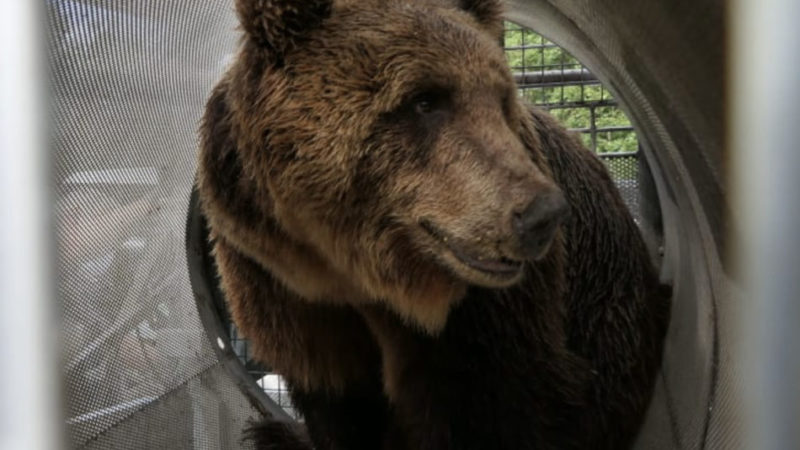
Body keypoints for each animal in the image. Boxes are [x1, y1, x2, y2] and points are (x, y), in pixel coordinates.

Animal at [196, 0, 671, 449]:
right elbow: (335, 398)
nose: (542, 214)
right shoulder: (279, 279)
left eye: (502, 100)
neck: (352, 269)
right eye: (424, 100)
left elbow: (497, 410)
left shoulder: (486, 322)